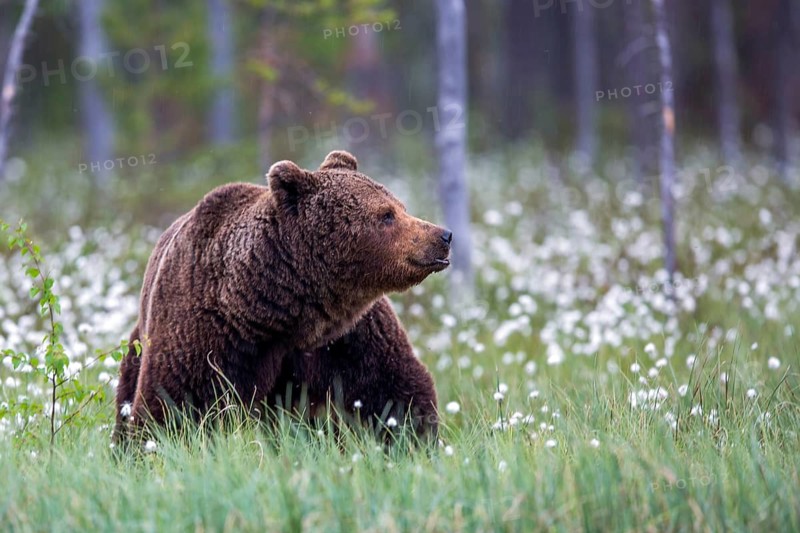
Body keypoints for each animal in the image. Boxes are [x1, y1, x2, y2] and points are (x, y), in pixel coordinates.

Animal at [114, 150, 450, 442]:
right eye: (386, 215)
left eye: (400, 206)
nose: (443, 235)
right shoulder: (204, 331)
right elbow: (176, 402)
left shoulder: (349, 333)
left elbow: (391, 389)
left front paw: (415, 440)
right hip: (138, 345)